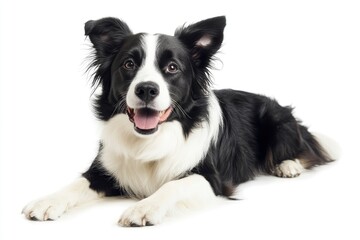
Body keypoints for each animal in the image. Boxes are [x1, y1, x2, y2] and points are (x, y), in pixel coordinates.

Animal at [21, 15, 332, 226]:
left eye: (172, 67)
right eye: (129, 64)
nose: (147, 89)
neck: (150, 139)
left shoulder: (211, 178)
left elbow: (172, 185)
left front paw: (142, 208)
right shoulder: (105, 169)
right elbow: (77, 183)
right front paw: (46, 201)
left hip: (276, 118)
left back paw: (288, 165)